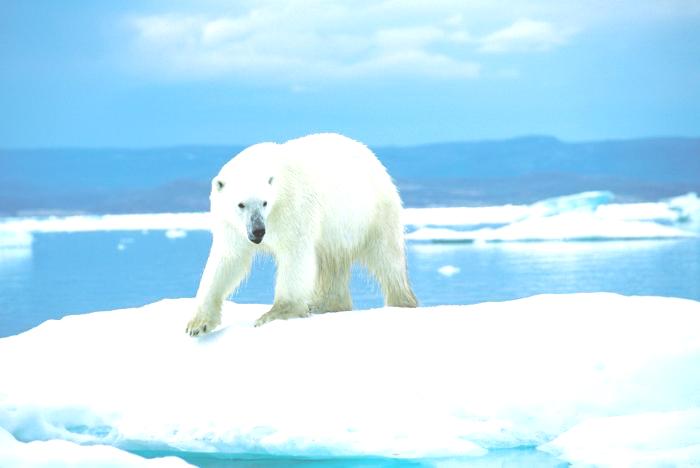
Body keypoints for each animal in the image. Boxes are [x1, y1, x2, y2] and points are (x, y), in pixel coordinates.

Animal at [186, 133, 418, 336]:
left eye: (264, 202)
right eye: (240, 204)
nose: (258, 231)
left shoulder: (293, 207)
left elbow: (294, 256)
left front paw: (274, 314)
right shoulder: (231, 226)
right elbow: (227, 260)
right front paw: (197, 325)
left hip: (373, 213)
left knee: (387, 259)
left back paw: (402, 302)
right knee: (331, 264)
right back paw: (325, 304)